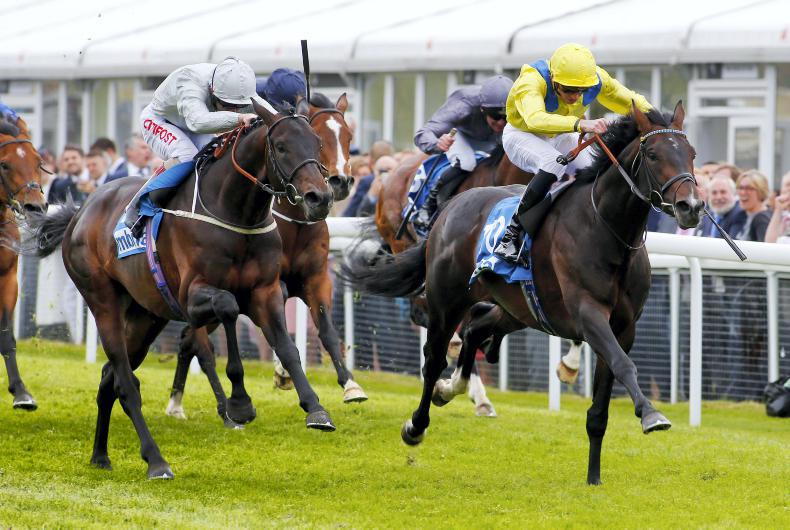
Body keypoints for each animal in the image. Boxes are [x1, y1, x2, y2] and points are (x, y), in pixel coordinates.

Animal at [30, 100, 336, 479]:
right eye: (281, 146)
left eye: (317, 144)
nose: (320, 197)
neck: (235, 212)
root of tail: (80, 212)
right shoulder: (192, 297)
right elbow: (228, 307)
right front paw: (239, 403)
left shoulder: (265, 291)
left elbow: (288, 348)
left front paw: (316, 409)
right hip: (103, 303)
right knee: (126, 384)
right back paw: (156, 460)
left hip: (145, 318)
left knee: (109, 378)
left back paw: (100, 455)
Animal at [164, 92, 367, 426]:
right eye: (321, 138)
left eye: (349, 136)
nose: (338, 183)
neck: (296, 222)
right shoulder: (274, 282)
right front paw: (282, 374)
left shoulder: (316, 277)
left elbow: (325, 326)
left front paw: (350, 384)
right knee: (194, 340)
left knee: (187, 338)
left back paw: (181, 402)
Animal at [342, 103, 702, 485]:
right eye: (653, 154)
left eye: (691, 153)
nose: (691, 207)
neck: (607, 230)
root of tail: (451, 206)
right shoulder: (588, 314)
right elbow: (624, 364)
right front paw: (651, 415)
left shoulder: (624, 326)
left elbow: (601, 405)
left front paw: (594, 477)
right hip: (447, 300)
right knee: (435, 355)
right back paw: (417, 423)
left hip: (518, 308)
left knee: (476, 328)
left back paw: (453, 388)